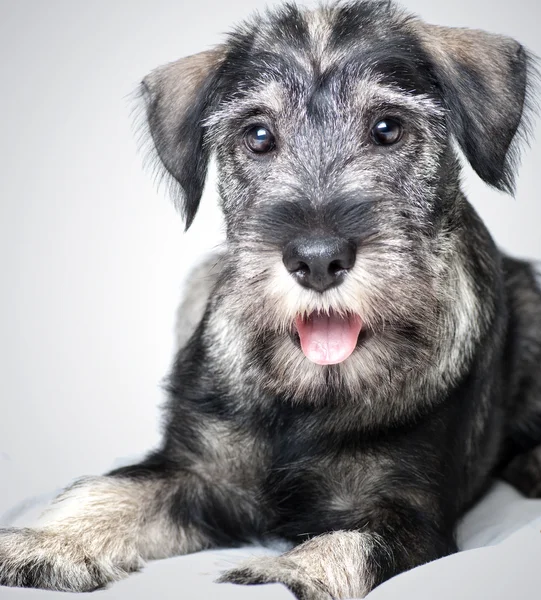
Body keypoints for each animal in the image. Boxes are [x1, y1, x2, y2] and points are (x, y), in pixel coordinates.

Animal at [1, 1, 540, 600]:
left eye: (388, 128)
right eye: (258, 134)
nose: (318, 260)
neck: (308, 395)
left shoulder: (411, 513)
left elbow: (353, 543)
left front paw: (291, 571)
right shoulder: (196, 473)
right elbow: (111, 490)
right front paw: (46, 542)